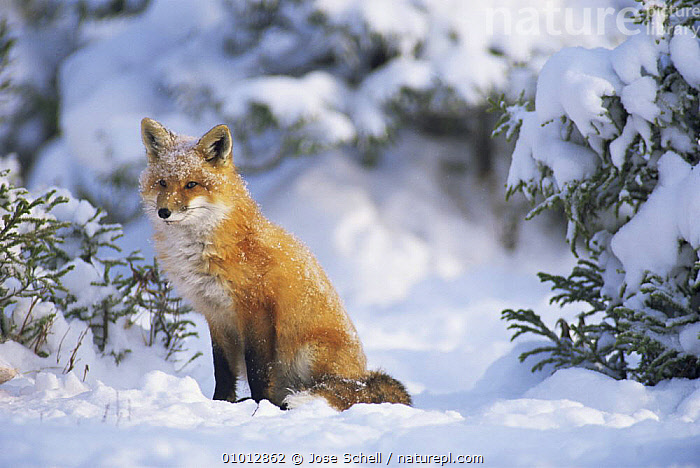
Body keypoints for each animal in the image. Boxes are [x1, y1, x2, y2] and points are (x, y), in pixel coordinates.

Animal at [138, 118, 410, 410]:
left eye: (191, 184)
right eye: (162, 183)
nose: (164, 212)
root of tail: (361, 377)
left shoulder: (256, 310)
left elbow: (256, 369)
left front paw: (260, 407)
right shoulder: (217, 315)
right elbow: (223, 371)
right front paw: (220, 404)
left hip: (308, 353)